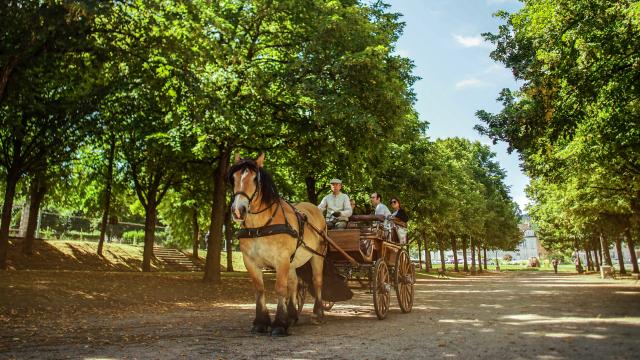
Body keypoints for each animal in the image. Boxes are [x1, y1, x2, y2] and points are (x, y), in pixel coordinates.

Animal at [229, 153, 328, 336]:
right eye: (234, 177)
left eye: (255, 178)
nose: (238, 210)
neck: (260, 227)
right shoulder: (250, 261)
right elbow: (260, 289)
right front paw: (261, 322)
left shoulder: (281, 259)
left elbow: (280, 288)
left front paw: (279, 324)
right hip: (293, 261)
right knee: (294, 284)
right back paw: (292, 316)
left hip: (317, 256)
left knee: (317, 281)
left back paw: (318, 314)